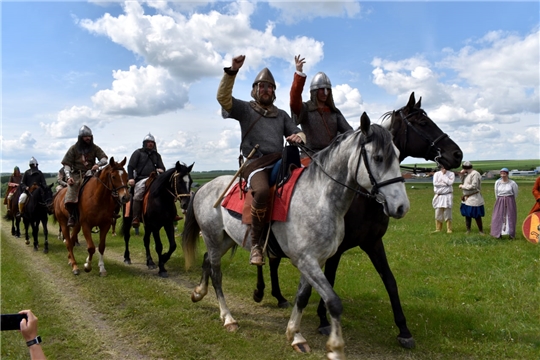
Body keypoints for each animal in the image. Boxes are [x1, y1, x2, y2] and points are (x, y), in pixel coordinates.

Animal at [184, 113, 412, 360]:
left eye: (397, 155)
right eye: (378, 158)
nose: (401, 207)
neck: (319, 198)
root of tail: (204, 187)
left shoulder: (314, 261)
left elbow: (302, 297)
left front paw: (295, 335)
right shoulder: (306, 260)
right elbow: (333, 301)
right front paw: (335, 348)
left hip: (224, 240)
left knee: (207, 260)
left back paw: (198, 293)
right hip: (213, 237)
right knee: (217, 274)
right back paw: (228, 318)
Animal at [255, 93, 462, 348]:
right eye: (423, 123)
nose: (457, 154)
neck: (362, 197)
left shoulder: (373, 243)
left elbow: (390, 281)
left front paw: (403, 330)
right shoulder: (334, 250)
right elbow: (330, 279)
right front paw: (323, 320)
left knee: (273, 260)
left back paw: (278, 296)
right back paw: (262, 292)